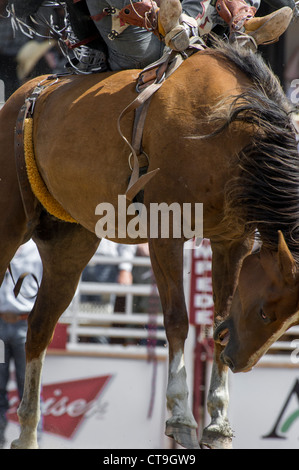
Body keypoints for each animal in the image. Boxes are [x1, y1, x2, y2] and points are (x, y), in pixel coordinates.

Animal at [0, 42, 299, 450]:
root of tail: (26, 94)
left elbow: (217, 316)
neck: (221, 132)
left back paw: (28, 433)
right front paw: (181, 417)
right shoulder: (165, 232)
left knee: (40, 325)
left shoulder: (232, 241)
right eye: (266, 313)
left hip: (69, 243)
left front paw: (218, 423)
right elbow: (177, 320)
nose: (240, 360)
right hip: (7, 223)